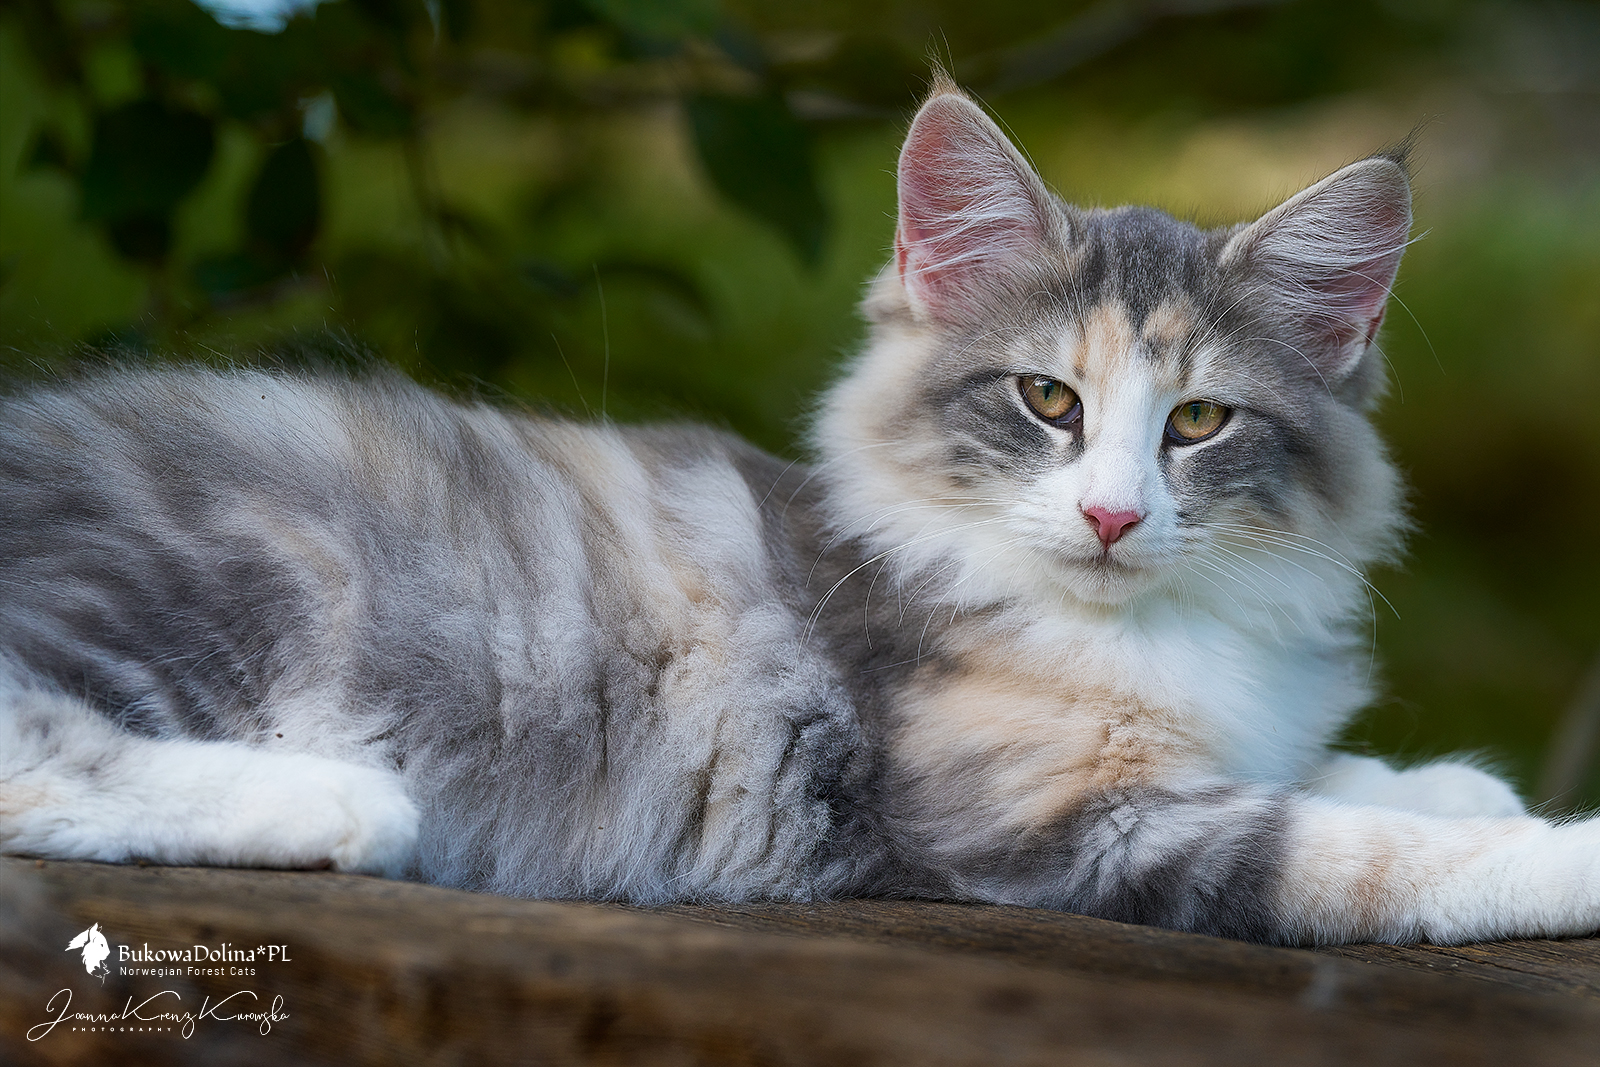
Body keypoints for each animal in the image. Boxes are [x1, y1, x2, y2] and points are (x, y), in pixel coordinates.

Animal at [2, 80, 1595, 947]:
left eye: (1197, 422)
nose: (1110, 517)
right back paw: (335, 801)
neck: (1137, 626)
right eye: (1047, 399)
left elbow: (1331, 775)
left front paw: (1461, 780)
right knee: (33, 750)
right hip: (201, 580)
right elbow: (1350, 849)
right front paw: (1557, 842)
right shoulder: (1047, 824)